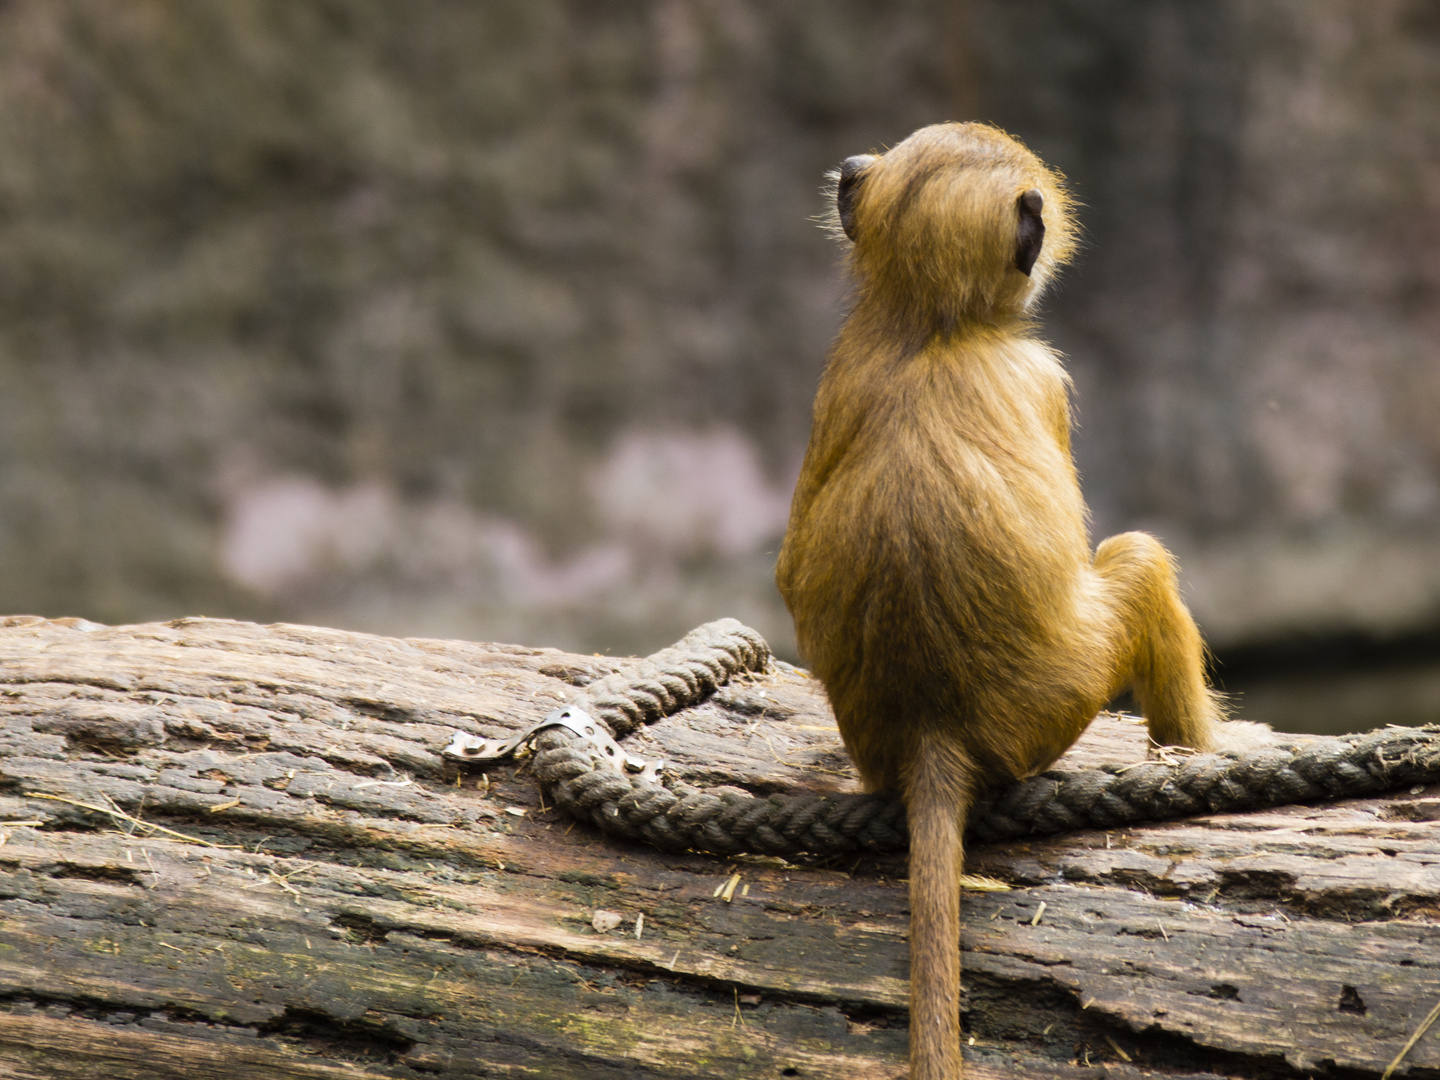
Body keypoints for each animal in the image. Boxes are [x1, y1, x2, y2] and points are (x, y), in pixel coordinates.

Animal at [783, 126, 1267, 1080]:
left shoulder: (837, 370)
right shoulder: (1042, 373)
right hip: (1055, 701)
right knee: (1140, 563)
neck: (931, 329)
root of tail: (934, 729)